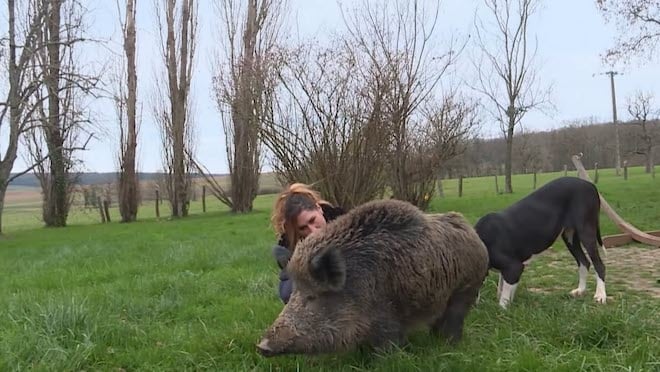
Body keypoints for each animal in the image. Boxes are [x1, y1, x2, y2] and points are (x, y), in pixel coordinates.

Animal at [476, 177, 604, 308]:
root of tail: (590, 184)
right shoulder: (509, 271)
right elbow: (503, 287)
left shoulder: (514, 267)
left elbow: (504, 296)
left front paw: (502, 308)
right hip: (570, 237)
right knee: (584, 262)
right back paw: (580, 290)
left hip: (586, 231)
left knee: (599, 265)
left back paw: (600, 296)